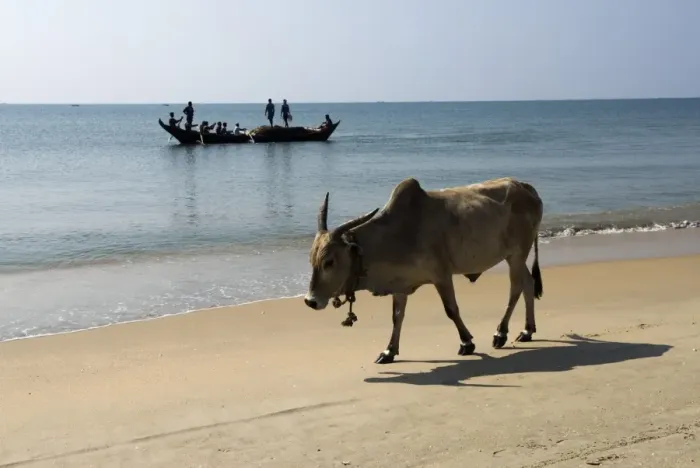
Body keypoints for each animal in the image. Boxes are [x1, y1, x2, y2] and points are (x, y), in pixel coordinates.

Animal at [303, 177, 544, 364]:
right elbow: (396, 317)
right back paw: (527, 330)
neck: (398, 233)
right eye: (312, 259)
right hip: (515, 256)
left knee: (516, 287)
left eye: (329, 262)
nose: (310, 301)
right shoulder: (400, 284)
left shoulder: (442, 275)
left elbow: (451, 310)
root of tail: (525, 187)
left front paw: (467, 342)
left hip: (517, 253)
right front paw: (389, 351)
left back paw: (501, 333)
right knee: (528, 283)